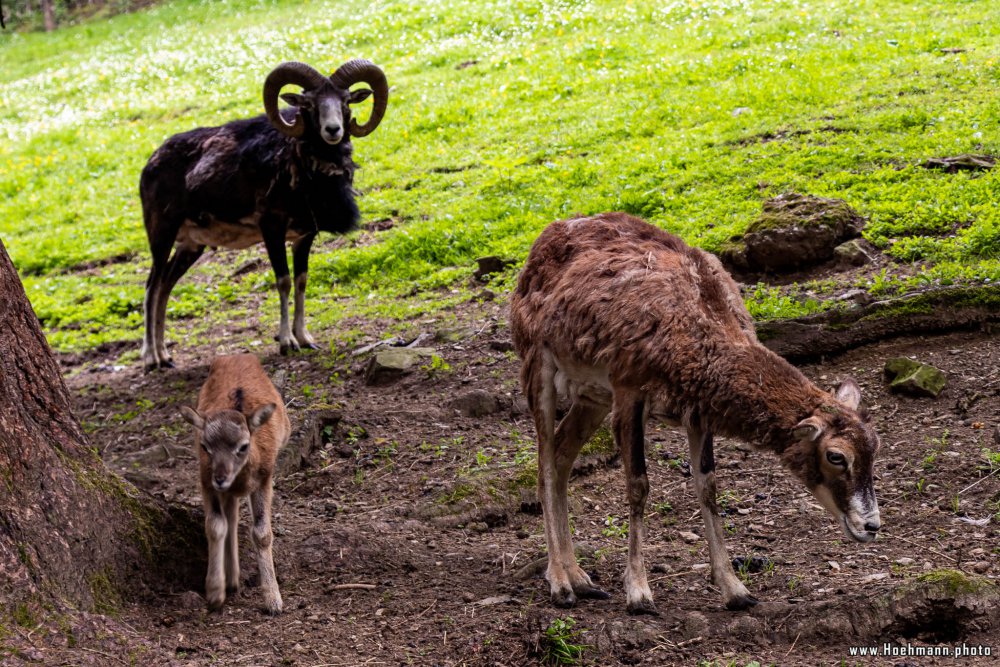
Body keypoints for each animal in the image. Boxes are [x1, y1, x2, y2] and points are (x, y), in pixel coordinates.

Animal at [512, 214, 880, 616]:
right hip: (537, 363)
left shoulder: (698, 414)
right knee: (546, 462)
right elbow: (638, 485)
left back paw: (581, 578)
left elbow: (709, 487)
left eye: (874, 449)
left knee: (563, 453)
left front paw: (736, 590)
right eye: (836, 456)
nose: (871, 526)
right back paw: (561, 583)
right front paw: (639, 593)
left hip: (592, 395)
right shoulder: (628, 389)